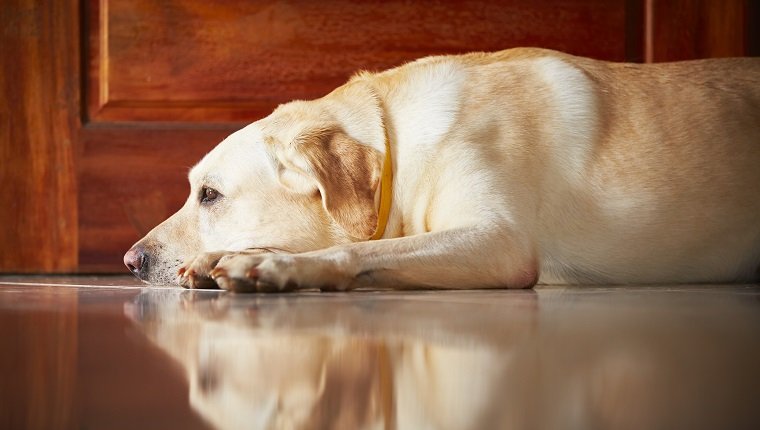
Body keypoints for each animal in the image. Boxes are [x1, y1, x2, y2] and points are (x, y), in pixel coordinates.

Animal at [121, 49, 756, 292]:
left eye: (209, 195)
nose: (131, 261)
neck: (396, 141)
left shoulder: (501, 241)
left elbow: (362, 248)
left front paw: (269, 264)